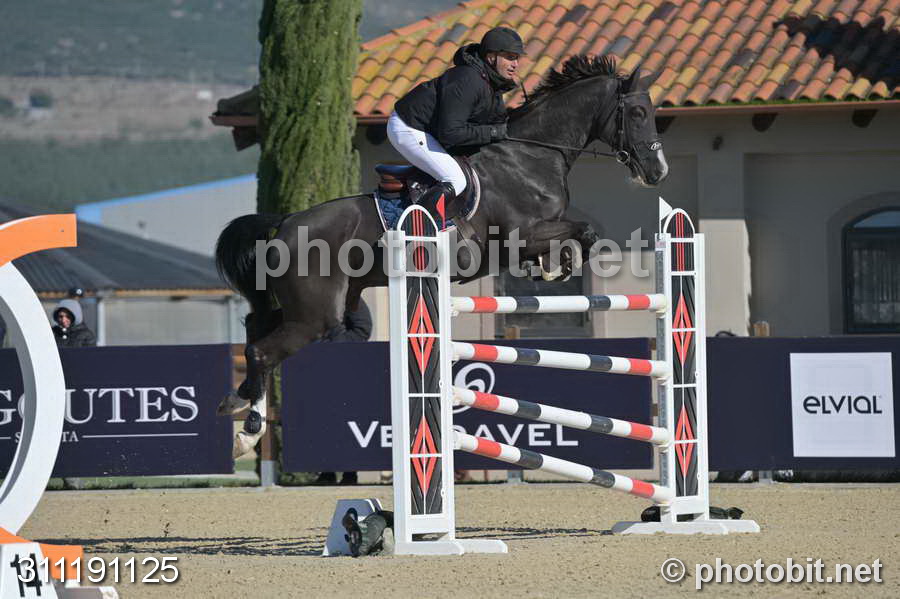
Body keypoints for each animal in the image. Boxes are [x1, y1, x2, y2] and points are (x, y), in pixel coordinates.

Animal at [215, 55, 668, 457]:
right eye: (638, 112)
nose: (658, 172)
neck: (530, 157)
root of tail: (286, 221)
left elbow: (579, 236)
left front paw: (551, 268)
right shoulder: (517, 237)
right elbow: (584, 232)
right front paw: (556, 270)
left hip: (319, 303)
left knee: (256, 328)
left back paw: (236, 400)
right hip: (315, 315)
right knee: (262, 352)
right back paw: (247, 432)